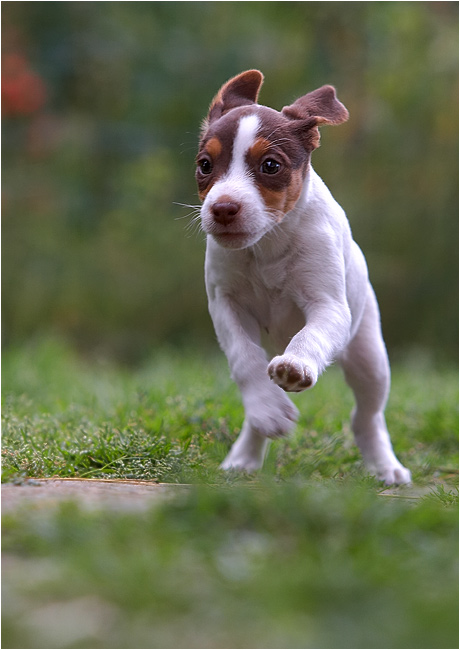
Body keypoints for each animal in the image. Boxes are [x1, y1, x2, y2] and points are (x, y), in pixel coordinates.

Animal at [194, 72, 410, 486]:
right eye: (205, 164)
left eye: (271, 165)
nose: (223, 208)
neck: (268, 246)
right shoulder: (225, 306)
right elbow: (245, 359)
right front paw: (268, 410)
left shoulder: (329, 307)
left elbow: (309, 335)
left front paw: (296, 364)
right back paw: (247, 452)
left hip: (369, 357)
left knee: (367, 416)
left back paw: (385, 466)